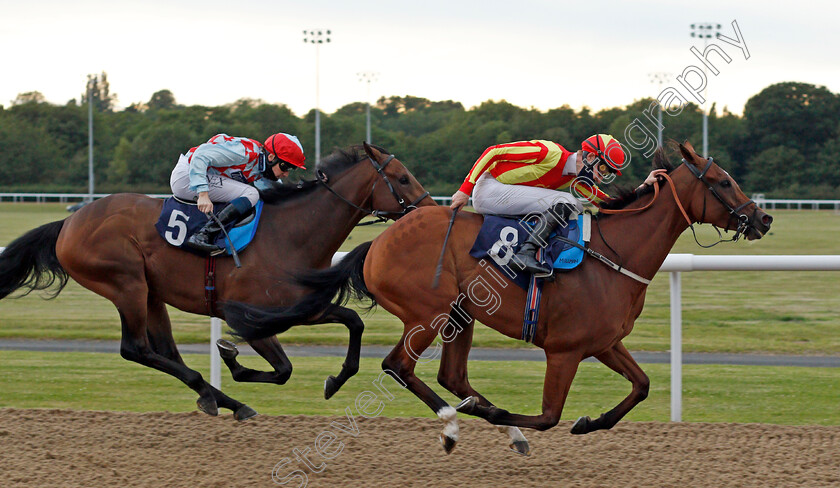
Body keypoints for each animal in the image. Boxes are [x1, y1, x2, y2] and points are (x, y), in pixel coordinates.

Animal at [0, 141, 434, 420]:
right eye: (402, 177)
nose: (429, 209)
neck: (291, 234)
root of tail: (69, 222)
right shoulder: (252, 312)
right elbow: (284, 366)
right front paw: (231, 357)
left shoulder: (297, 307)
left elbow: (347, 325)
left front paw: (333, 380)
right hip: (125, 284)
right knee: (135, 348)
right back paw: (221, 396)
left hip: (150, 292)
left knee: (164, 351)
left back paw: (221, 399)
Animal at [225, 142, 776, 454]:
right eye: (723, 181)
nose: (764, 218)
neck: (615, 252)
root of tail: (378, 241)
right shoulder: (565, 350)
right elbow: (550, 415)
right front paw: (513, 419)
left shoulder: (603, 342)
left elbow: (641, 387)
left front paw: (590, 422)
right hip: (427, 314)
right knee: (399, 367)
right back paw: (456, 425)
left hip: (461, 315)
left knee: (452, 376)